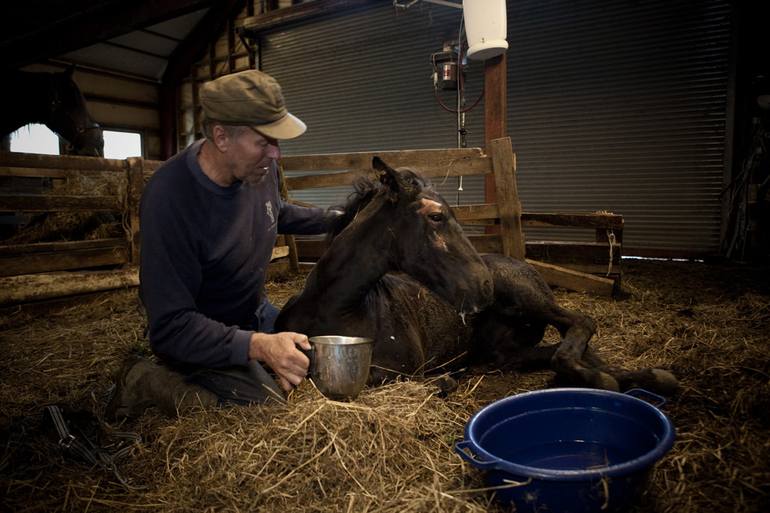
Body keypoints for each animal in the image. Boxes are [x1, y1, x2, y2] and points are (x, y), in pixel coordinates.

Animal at [278, 158, 680, 394]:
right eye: (436, 216)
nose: (483, 284)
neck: (337, 308)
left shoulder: (406, 371)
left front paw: (450, 378)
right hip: (508, 352)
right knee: (562, 349)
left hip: (528, 299)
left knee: (580, 324)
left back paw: (621, 378)